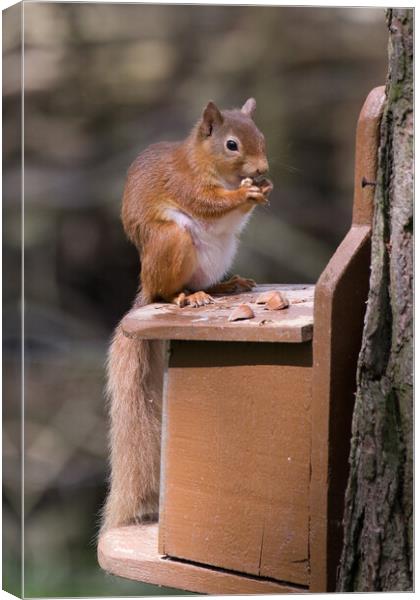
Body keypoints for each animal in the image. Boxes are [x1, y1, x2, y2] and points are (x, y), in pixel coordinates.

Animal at [101, 97, 272, 528]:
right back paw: (184, 298)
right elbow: (208, 202)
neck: (206, 164)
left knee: (205, 282)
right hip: (170, 242)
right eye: (231, 144)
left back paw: (222, 287)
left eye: (261, 136)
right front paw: (245, 194)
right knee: (167, 290)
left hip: (219, 255)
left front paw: (263, 190)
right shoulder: (183, 183)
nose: (263, 170)